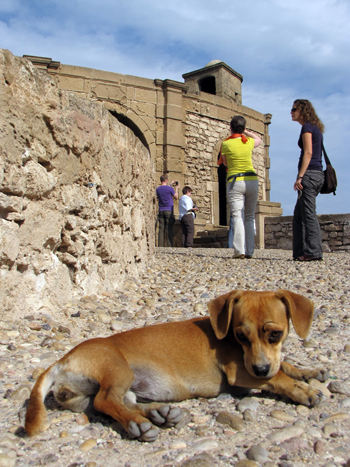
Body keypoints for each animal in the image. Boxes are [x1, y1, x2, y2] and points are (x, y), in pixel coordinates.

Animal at [24, 288, 326, 442]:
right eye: (241, 336)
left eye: (275, 334)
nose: (260, 368)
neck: (227, 334)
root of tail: (62, 361)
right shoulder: (240, 372)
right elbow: (277, 377)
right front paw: (303, 389)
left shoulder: (265, 362)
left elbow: (284, 364)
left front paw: (309, 371)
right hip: (118, 370)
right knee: (106, 401)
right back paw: (139, 424)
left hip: (115, 389)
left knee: (118, 403)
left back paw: (159, 414)